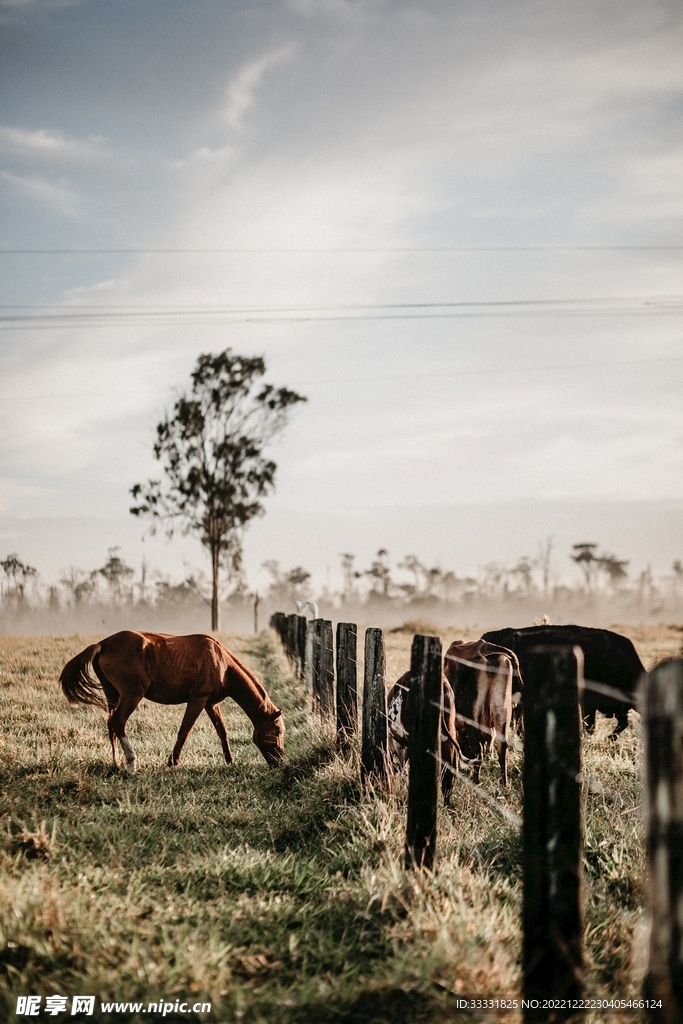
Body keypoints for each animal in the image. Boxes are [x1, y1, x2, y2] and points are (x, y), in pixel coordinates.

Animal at [59, 631, 285, 773]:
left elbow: (222, 731)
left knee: (111, 725)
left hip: (112, 695)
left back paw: (116, 763)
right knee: (118, 722)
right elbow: (184, 731)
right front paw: (172, 761)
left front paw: (229, 761)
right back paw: (131, 764)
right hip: (132, 695)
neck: (222, 663)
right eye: (279, 731)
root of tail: (102, 644)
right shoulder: (198, 700)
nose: (280, 762)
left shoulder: (211, 704)